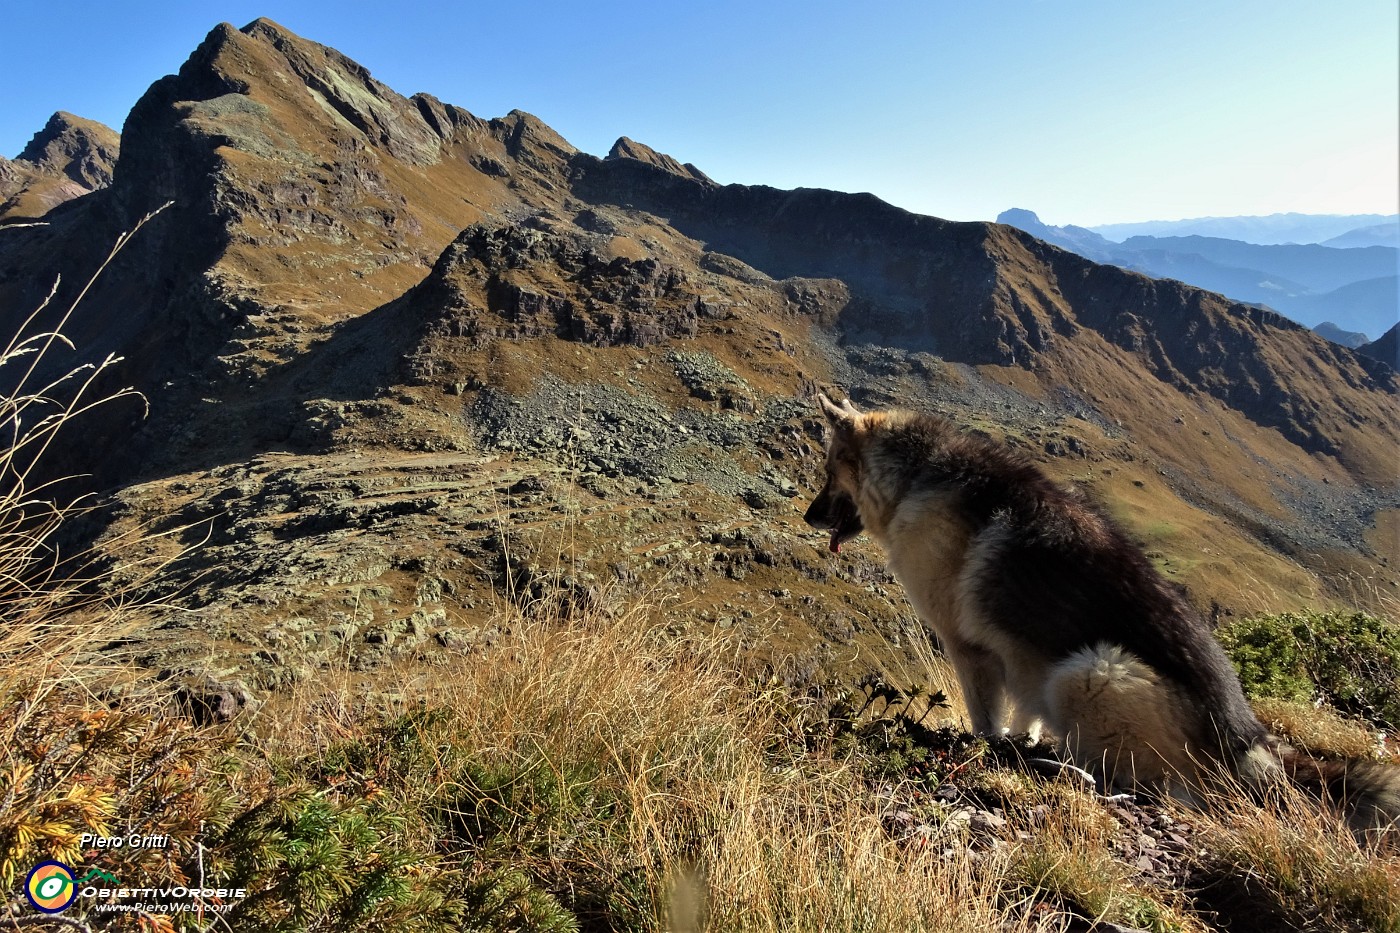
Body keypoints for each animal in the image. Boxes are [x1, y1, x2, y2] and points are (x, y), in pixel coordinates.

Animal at [806, 392, 1400, 829]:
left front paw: (991, 746)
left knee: (1150, 785)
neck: (914, 476)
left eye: (830, 470)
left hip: (1093, 671)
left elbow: (983, 715)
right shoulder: (1020, 661)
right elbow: (1024, 710)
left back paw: (1067, 768)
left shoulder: (968, 649)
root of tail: (1244, 737)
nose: (810, 516)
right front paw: (1022, 738)